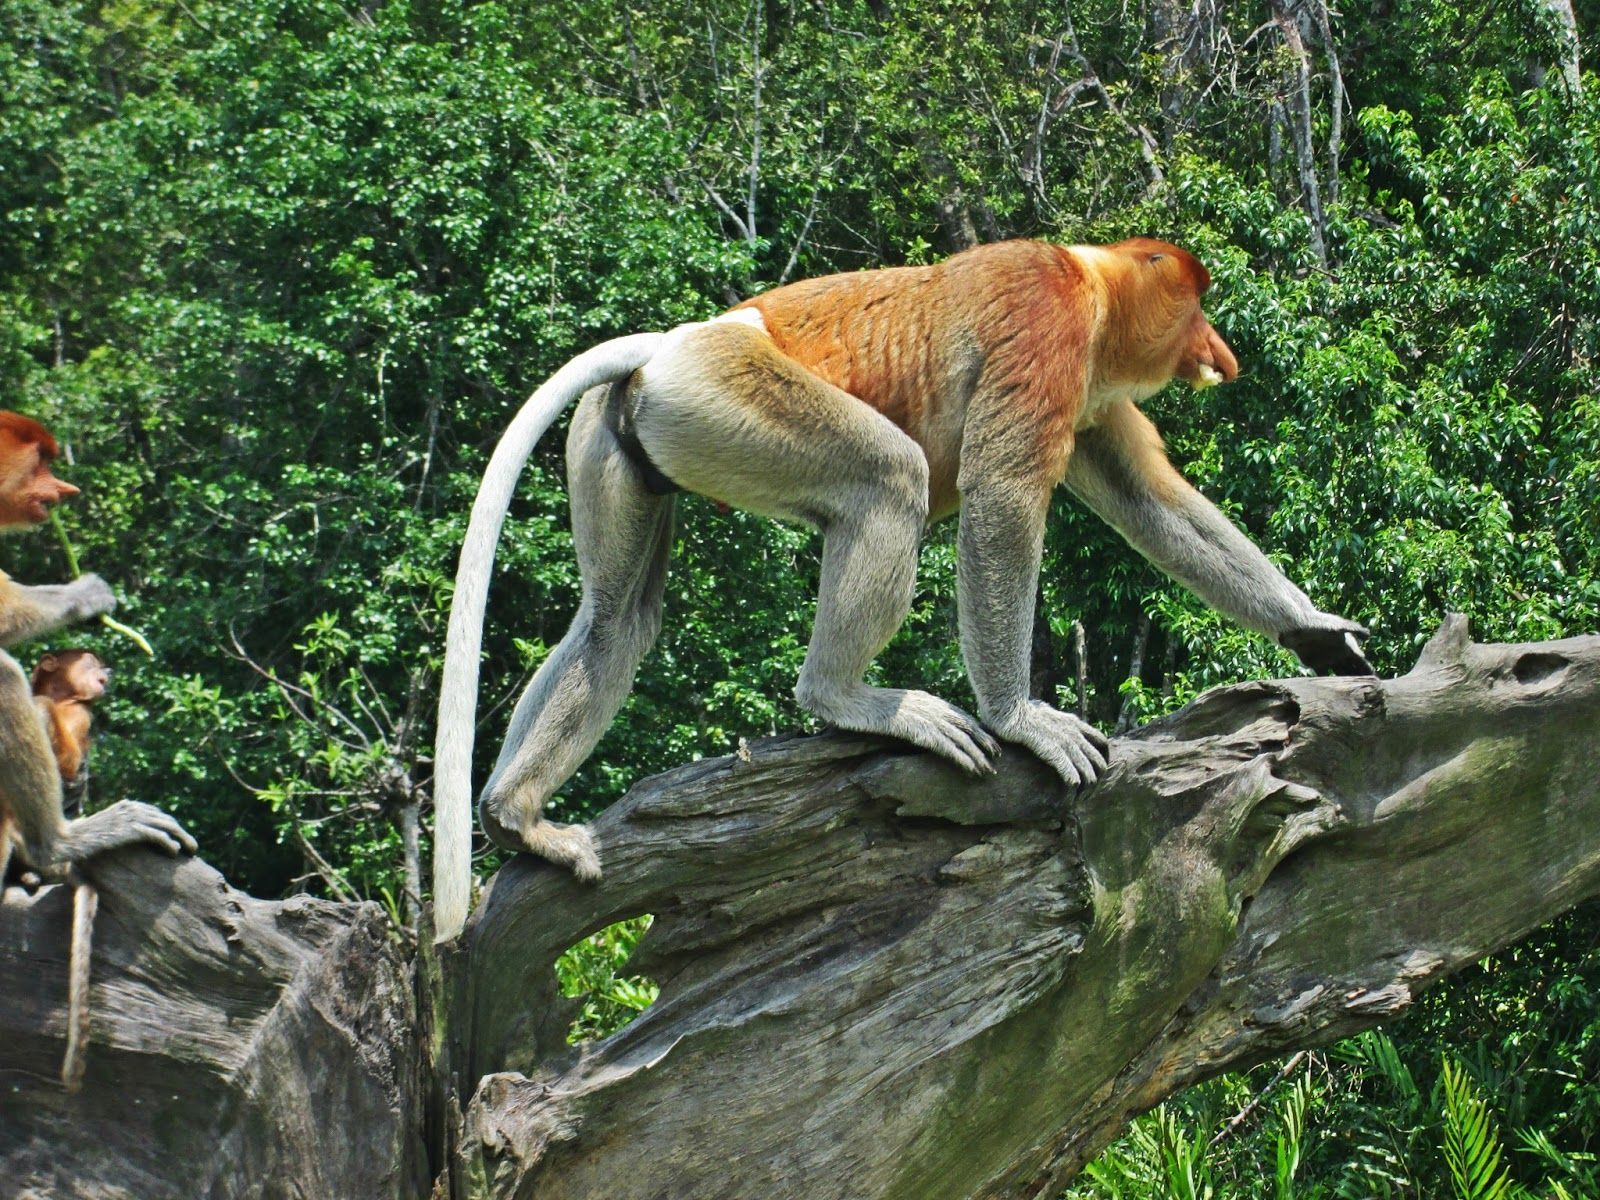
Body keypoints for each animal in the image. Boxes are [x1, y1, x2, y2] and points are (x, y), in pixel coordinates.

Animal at [431, 239, 1373, 940]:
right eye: (1195, 303)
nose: (1222, 355)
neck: (1091, 279)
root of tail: (671, 343)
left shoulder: (1092, 393)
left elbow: (1150, 500)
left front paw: (1318, 633)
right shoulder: (1047, 325)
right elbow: (1002, 501)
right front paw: (1023, 719)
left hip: (622, 435)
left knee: (613, 620)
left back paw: (516, 817)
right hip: (730, 395)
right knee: (888, 480)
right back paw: (853, 698)